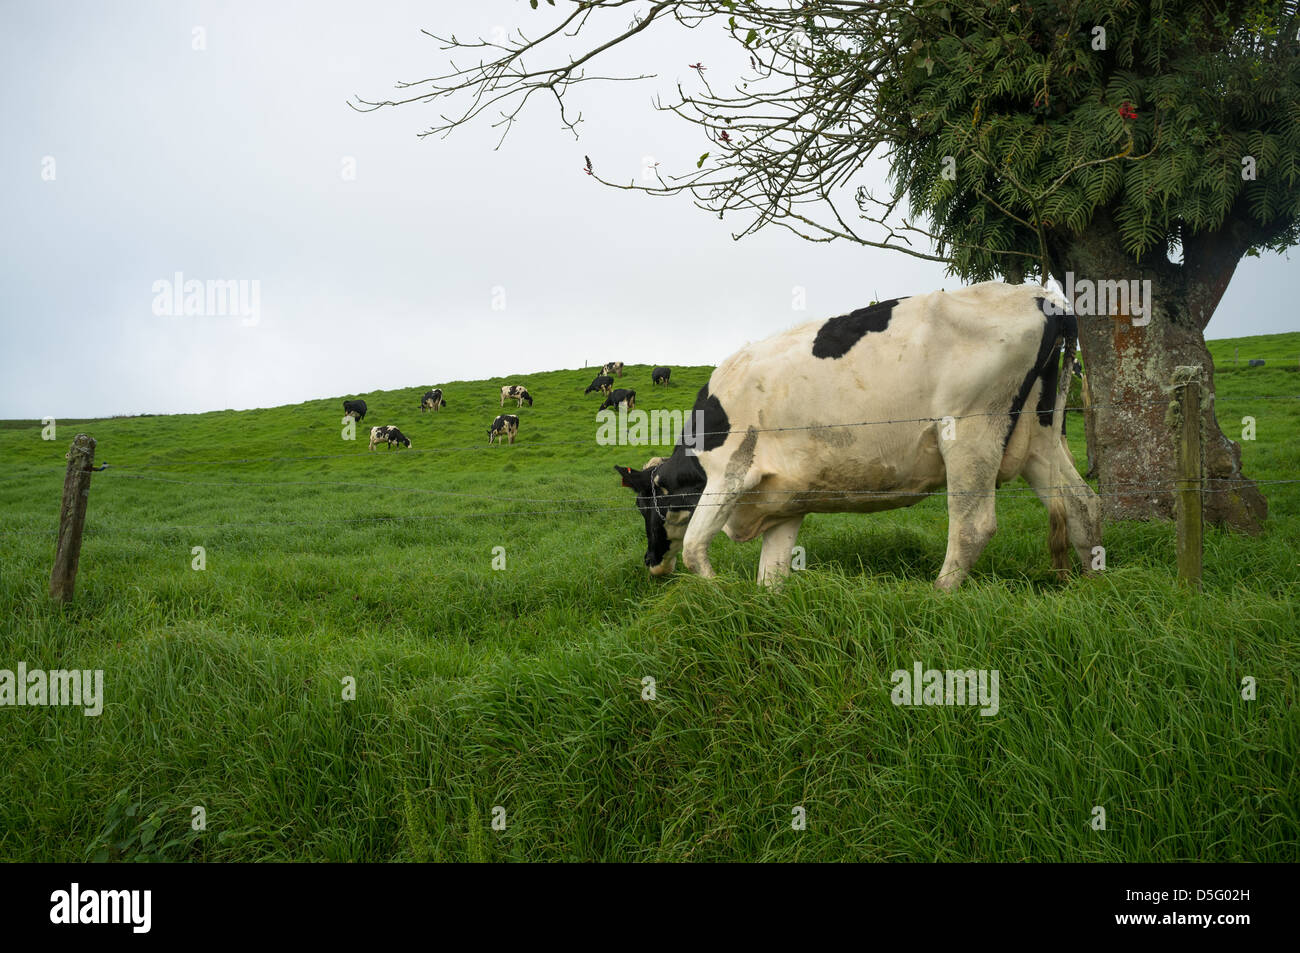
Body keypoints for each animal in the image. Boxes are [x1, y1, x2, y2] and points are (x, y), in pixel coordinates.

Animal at [615, 282, 1101, 591]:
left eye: (645, 508)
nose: (650, 563)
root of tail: (1041, 297)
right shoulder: (785, 504)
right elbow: (771, 578)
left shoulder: (730, 475)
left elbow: (694, 549)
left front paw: (718, 595)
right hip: (1038, 438)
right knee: (1083, 504)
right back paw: (1093, 584)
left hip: (970, 433)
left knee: (972, 526)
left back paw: (938, 594)